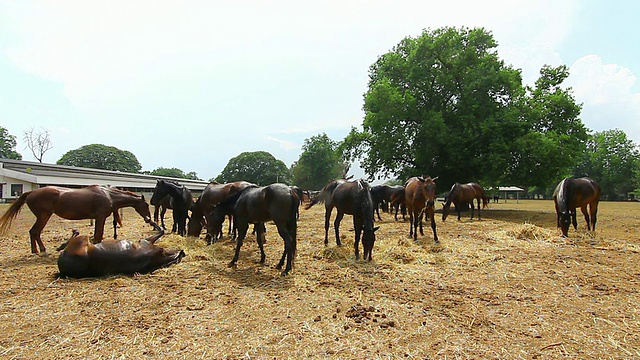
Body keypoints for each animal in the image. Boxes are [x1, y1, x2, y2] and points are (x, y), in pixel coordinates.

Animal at [0, 186, 160, 253]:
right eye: (146, 205)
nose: (149, 219)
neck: (108, 195)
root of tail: (31, 192)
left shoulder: (99, 218)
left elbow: (98, 235)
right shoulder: (100, 217)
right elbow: (98, 235)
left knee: (34, 232)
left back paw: (37, 250)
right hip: (43, 216)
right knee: (34, 232)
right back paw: (41, 250)